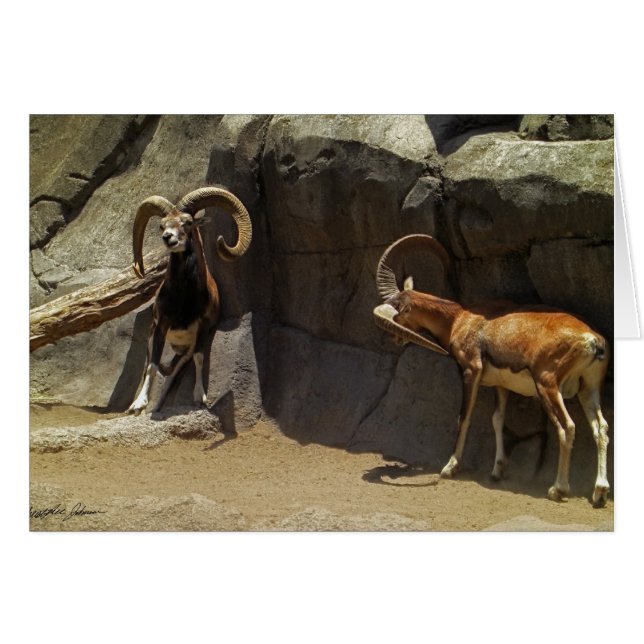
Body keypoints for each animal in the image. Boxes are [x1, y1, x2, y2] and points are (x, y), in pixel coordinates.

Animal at [127, 187, 252, 415]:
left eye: (187, 222)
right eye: (162, 225)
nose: (168, 238)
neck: (184, 300)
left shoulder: (203, 328)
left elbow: (199, 358)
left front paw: (199, 397)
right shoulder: (161, 327)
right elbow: (152, 366)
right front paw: (138, 404)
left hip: (184, 352)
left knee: (172, 375)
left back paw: (158, 407)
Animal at [372, 234, 610, 507]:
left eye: (397, 313)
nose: (394, 339)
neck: (459, 320)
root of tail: (591, 340)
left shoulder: (470, 371)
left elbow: (464, 417)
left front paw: (449, 468)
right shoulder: (500, 386)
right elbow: (497, 419)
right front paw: (497, 471)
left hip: (547, 386)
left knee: (567, 427)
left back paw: (558, 489)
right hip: (588, 389)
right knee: (601, 429)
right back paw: (600, 492)